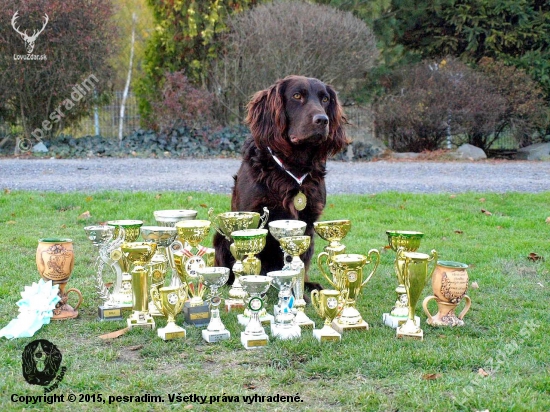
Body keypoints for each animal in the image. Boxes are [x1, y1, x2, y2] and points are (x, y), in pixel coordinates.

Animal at [216, 75, 350, 286]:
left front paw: (303, 285)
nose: (323, 120)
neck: (293, 166)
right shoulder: (251, 217)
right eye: (297, 96)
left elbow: (302, 260)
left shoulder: (308, 222)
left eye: (325, 99)